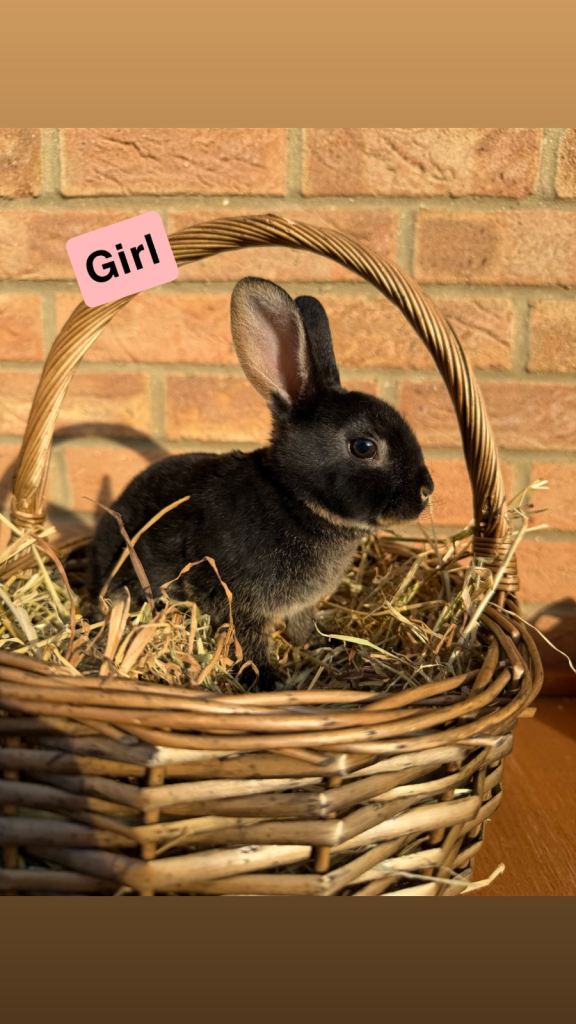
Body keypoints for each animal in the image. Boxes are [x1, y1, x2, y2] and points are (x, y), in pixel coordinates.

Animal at [88, 276, 434, 692]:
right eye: (364, 447)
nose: (426, 491)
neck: (294, 497)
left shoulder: (300, 605)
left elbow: (302, 627)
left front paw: (322, 644)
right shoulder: (241, 603)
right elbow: (250, 643)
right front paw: (267, 681)